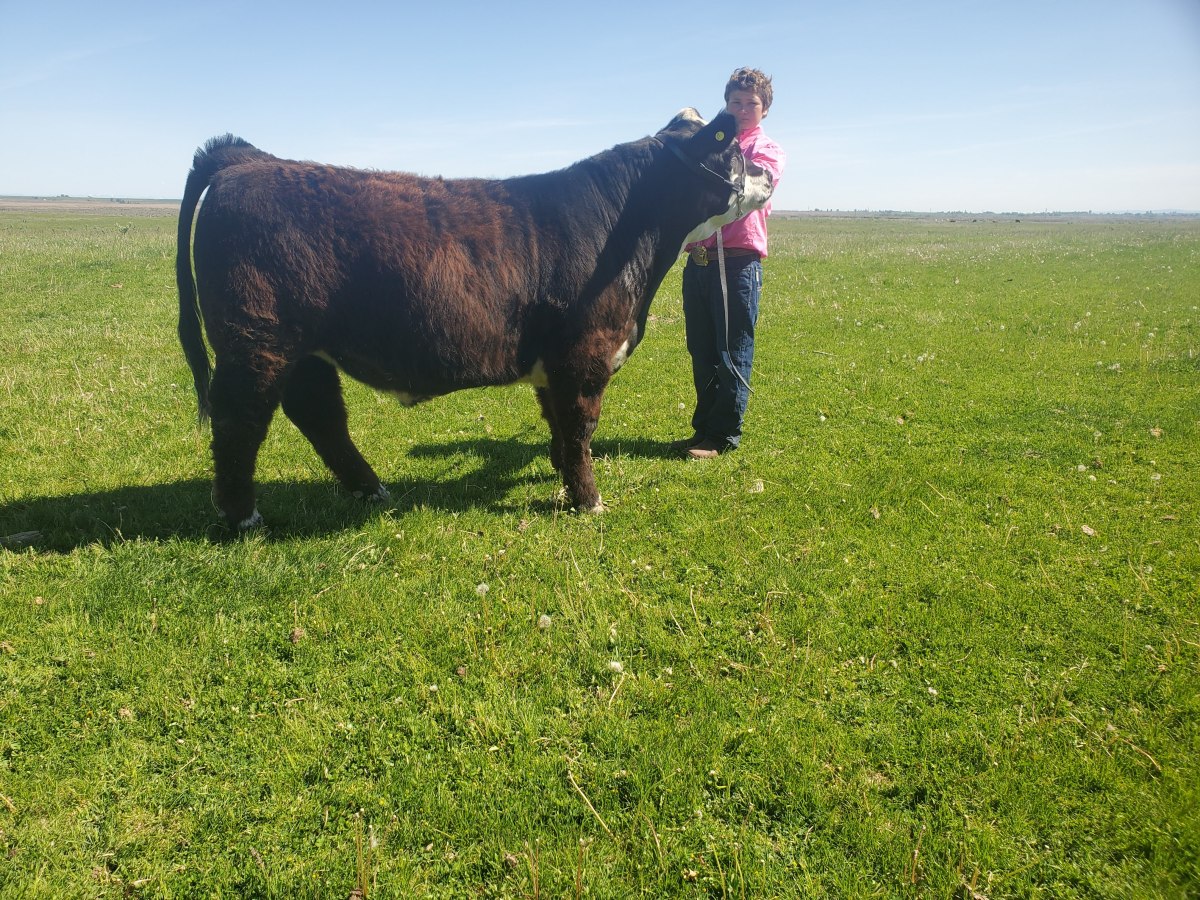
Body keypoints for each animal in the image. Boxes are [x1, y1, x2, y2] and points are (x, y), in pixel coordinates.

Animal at [176, 109, 774, 529]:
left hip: (304, 350)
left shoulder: (555, 363)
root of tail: (249, 160)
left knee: (319, 414)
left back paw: (370, 489)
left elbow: (557, 423)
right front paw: (589, 501)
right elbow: (581, 427)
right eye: (733, 151)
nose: (768, 175)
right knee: (240, 422)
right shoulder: (584, 356)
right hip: (257, 343)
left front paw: (561, 474)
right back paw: (243, 516)